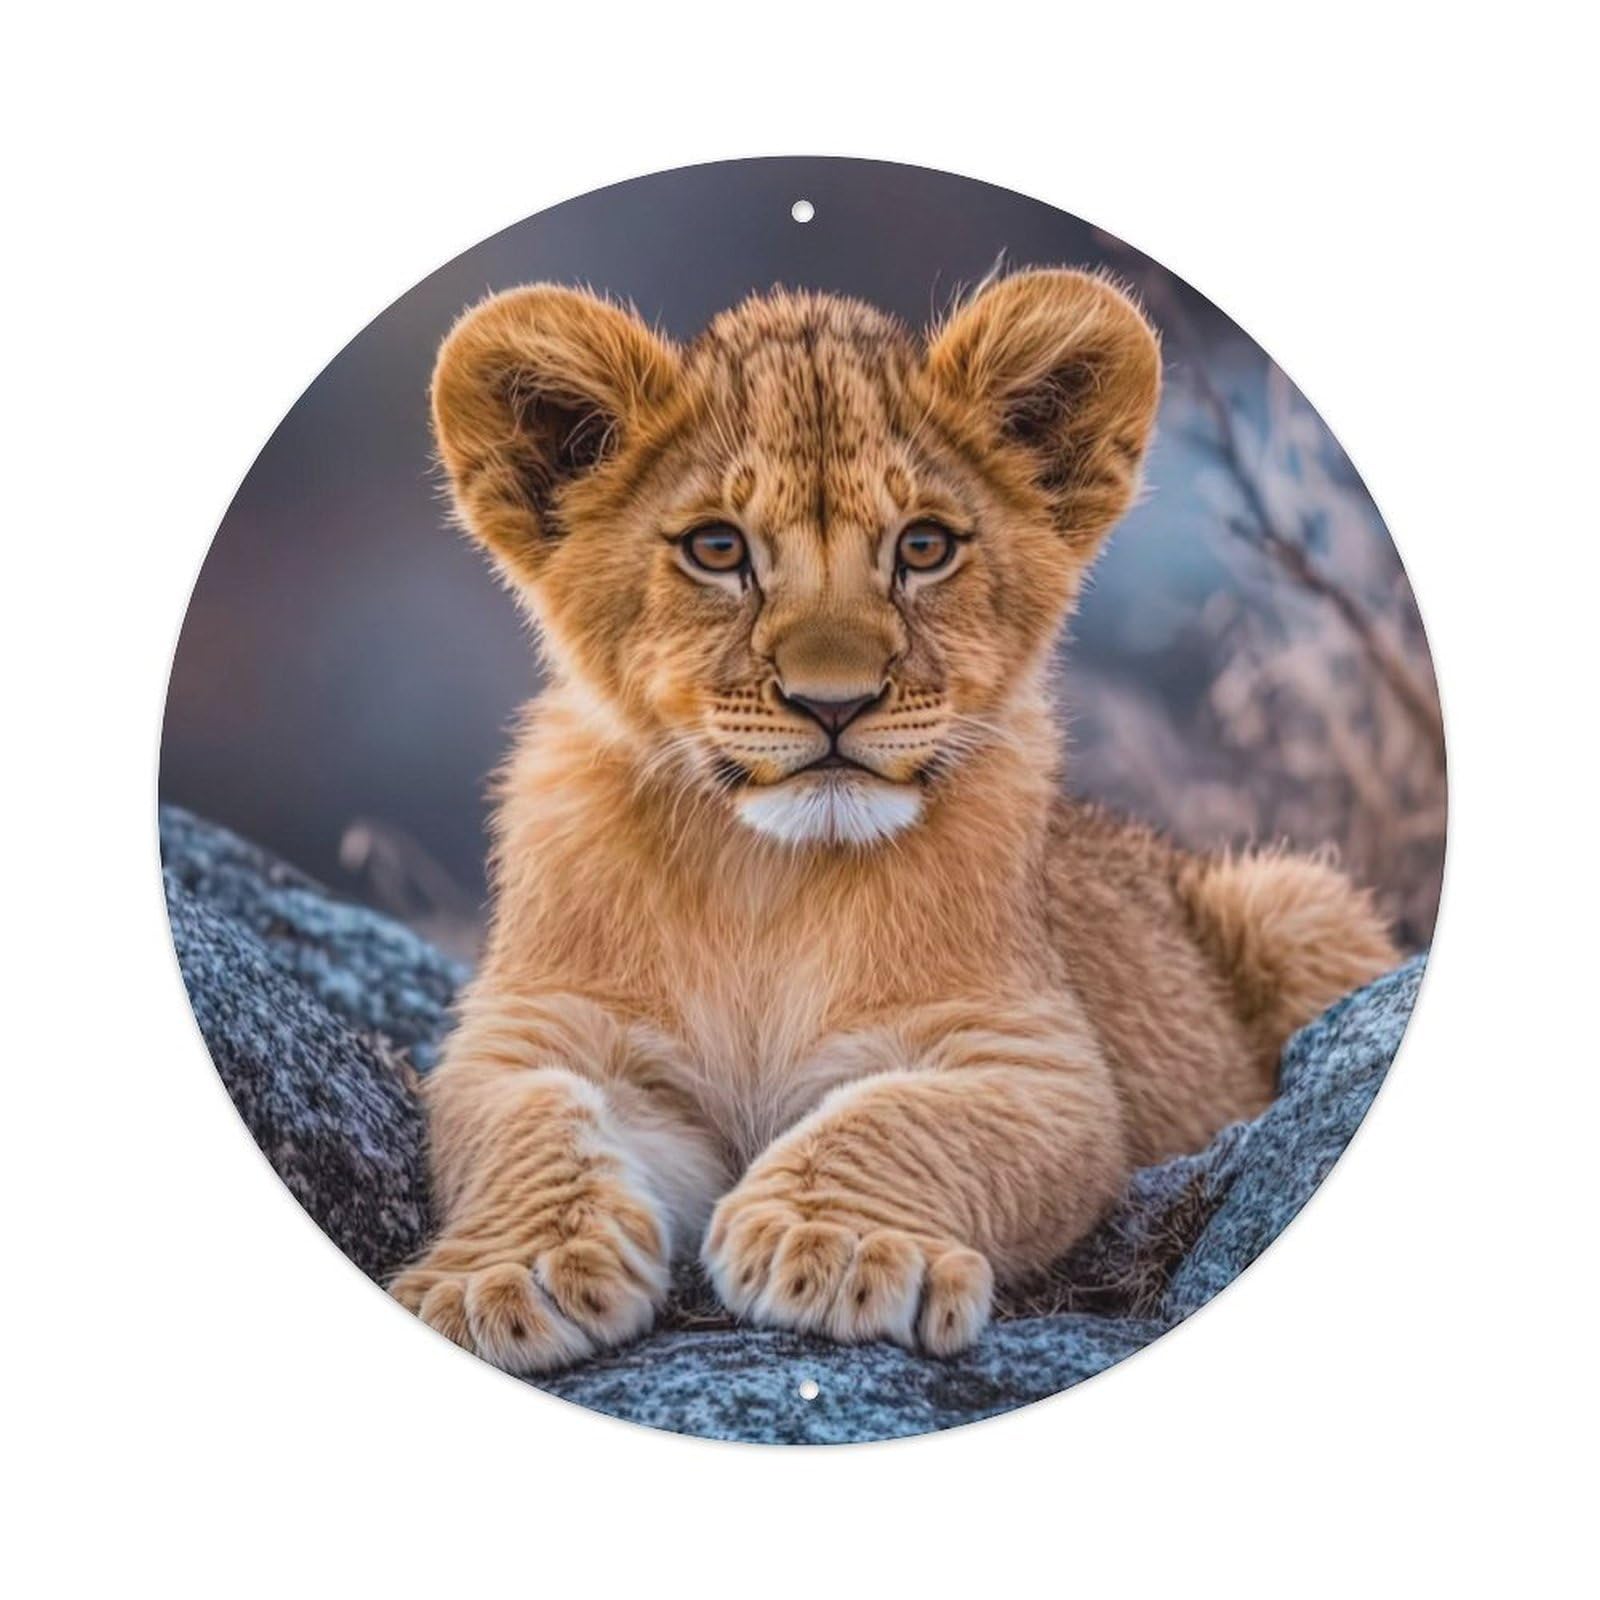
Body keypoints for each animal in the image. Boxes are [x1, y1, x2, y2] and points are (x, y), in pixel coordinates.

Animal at [390, 269, 1398, 1370]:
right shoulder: (533, 1030)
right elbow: (526, 1124)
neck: (766, 879)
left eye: (923, 545)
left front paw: (836, 1244)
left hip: (1295, 899)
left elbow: (899, 1116)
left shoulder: (1040, 1063)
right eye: (716, 548)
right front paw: (503, 1275)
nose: (833, 703)